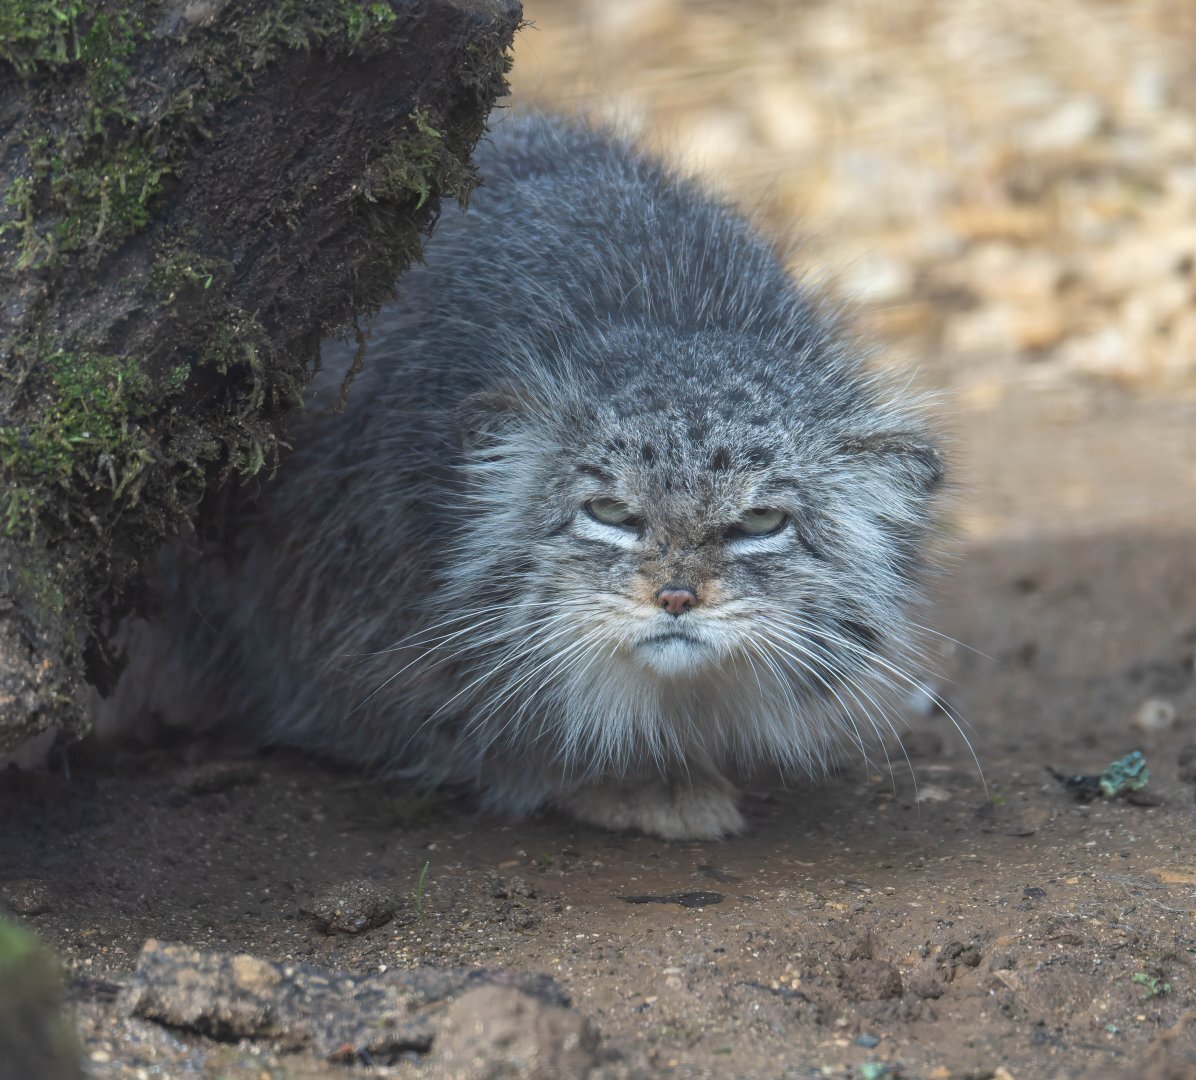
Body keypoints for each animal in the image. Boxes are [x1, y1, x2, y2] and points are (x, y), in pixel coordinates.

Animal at [100, 116, 942, 846]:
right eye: (609, 512)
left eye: (762, 524)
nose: (676, 598)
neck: (670, 315)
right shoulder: (327, 634)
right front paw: (636, 779)